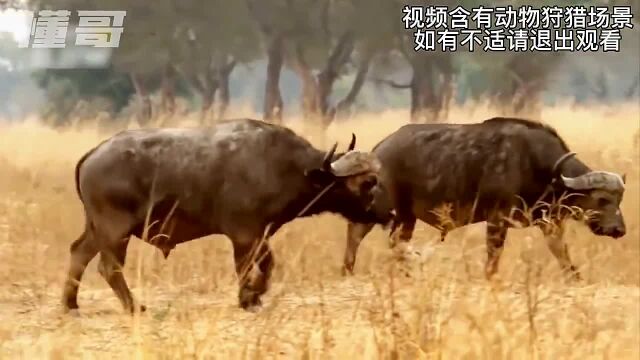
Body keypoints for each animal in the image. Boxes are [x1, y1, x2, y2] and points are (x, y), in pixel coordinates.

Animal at [62, 119, 392, 314]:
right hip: (115, 230)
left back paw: (70, 304)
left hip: (97, 229)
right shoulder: (244, 235)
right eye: (368, 183)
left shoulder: (260, 233)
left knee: (78, 253)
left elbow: (266, 263)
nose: (387, 212)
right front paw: (249, 297)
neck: (283, 166)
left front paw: (253, 296)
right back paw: (133, 307)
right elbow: (249, 267)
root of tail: (93, 154)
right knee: (109, 267)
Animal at [342, 116, 628, 280]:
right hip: (388, 211)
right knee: (360, 235)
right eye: (602, 200)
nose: (619, 230)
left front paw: (574, 276)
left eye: (618, 200)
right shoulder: (497, 218)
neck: (540, 165)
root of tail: (378, 150)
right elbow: (494, 254)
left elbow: (561, 252)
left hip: (405, 217)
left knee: (391, 241)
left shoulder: (549, 222)